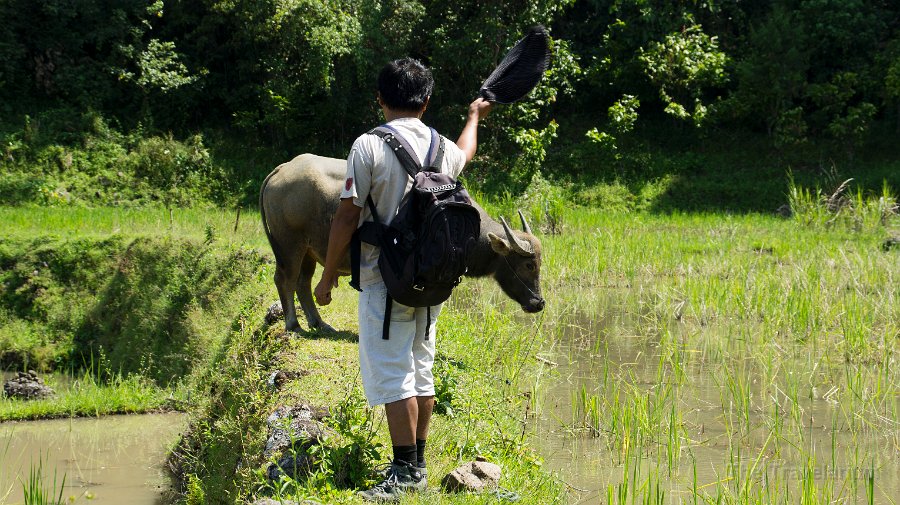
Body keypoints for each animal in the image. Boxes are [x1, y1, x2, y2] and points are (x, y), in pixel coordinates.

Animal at [256, 156, 544, 332]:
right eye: (529, 265)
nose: (538, 303)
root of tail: (283, 169)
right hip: (289, 246)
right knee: (285, 279)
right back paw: (293, 324)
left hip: (308, 251)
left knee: (303, 283)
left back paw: (318, 323)